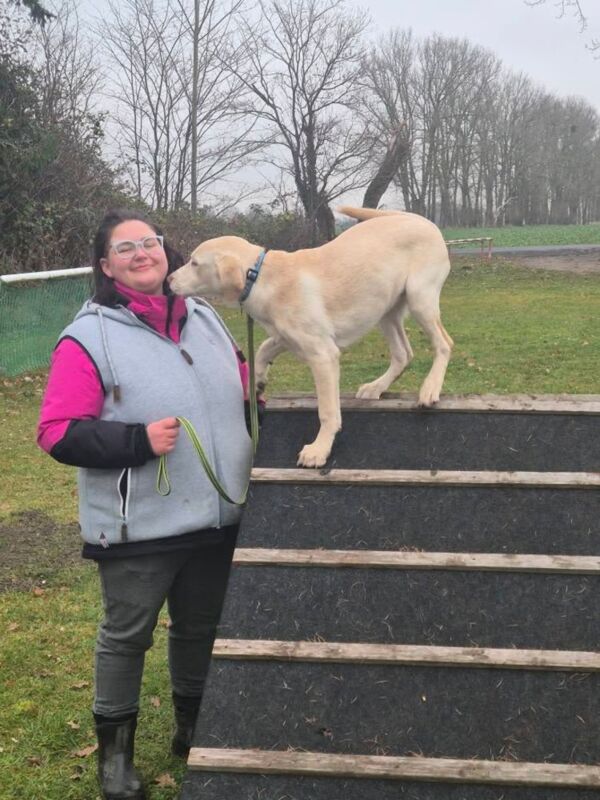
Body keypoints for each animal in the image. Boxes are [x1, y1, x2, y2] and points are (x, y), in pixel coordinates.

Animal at [168, 206, 453, 468]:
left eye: (194, 263)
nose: (169, 278)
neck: (260, 277)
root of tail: (421, 220)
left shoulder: (323, 355)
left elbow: (327, 411)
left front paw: (319, 449)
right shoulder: (285, 336)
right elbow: (263, 349)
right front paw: (258, 380)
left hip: (419, 298)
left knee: (444, 344)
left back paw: (430, 388)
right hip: (386, 309)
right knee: (403, 354)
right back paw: (376, 387)